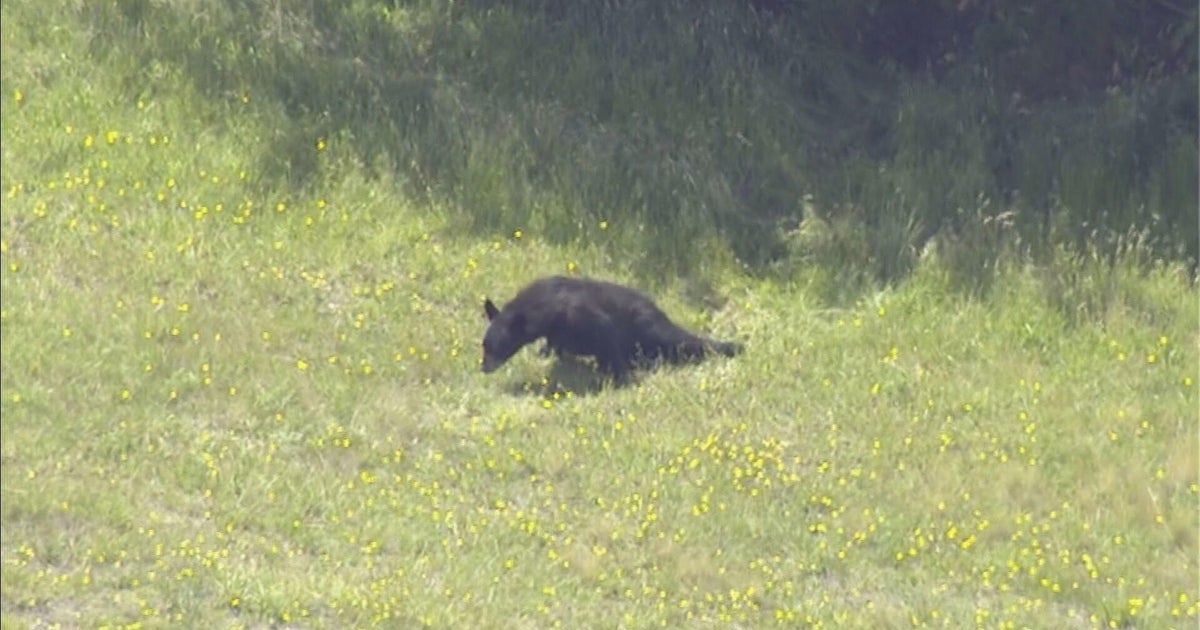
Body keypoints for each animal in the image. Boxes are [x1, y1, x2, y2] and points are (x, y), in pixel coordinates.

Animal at [477, 274, 739, 379]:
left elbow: (605, 335)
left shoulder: (582, 315)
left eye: (495, 346)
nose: (484, 367)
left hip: (650, 328)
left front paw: (621, 376)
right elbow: (556, 345)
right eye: (484, 345)